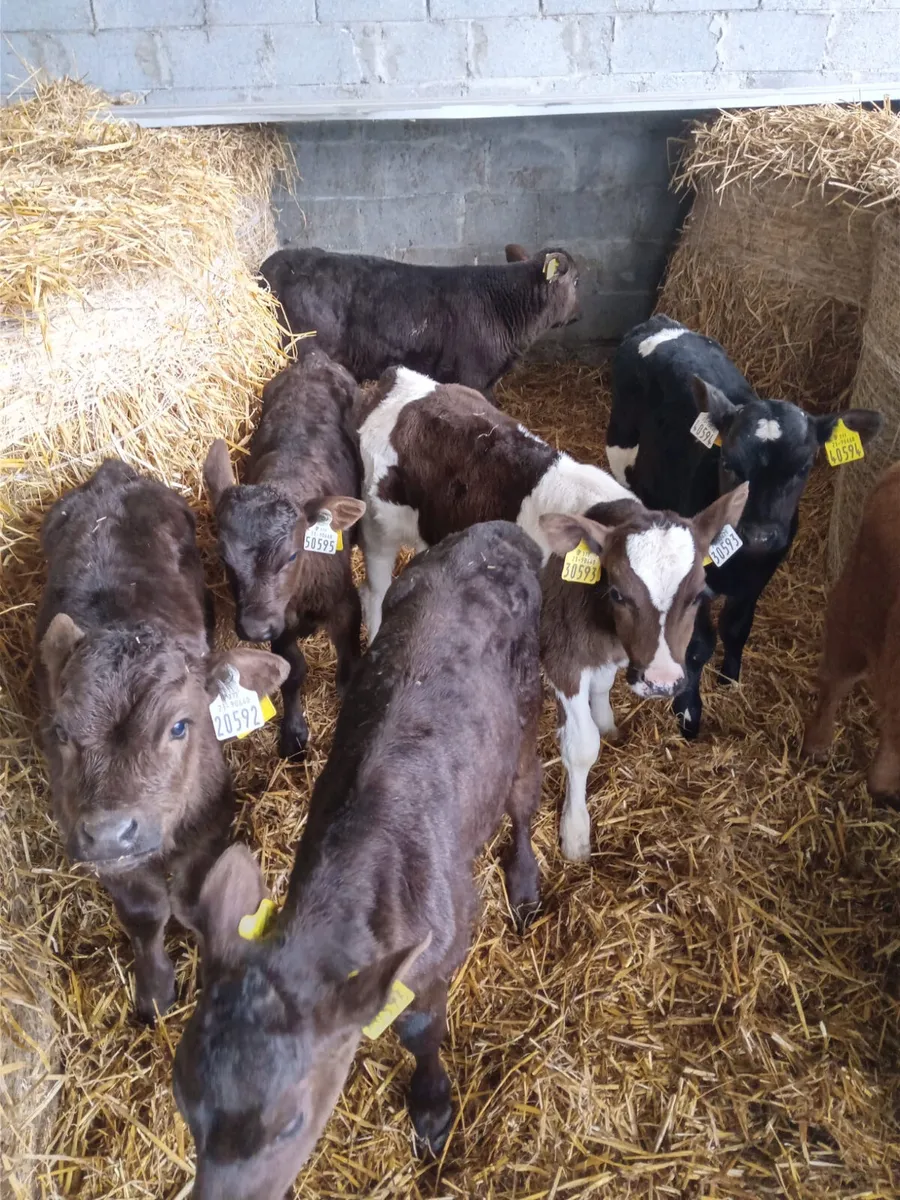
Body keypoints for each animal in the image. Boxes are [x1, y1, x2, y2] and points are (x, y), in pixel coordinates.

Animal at [34, 460, 288, 1022]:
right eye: (60, 731)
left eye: (179, 726)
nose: (110, 832)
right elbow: (145, 912)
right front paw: (154, 989)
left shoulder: (214, 818)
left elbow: (194, 899)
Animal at [173, 520, 545, 1199]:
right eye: (183, 1097)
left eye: (292, 1120)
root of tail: (498, 531)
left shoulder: (442, 946)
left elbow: (420, 1031)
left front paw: (431, 1108)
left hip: (527, 709)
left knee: (524, 795)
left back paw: (525, 882)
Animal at [203, 344, 366, 760]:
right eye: (224, 559)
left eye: (292, 556)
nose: (253, 628)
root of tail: (313, 358)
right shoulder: (280, 622)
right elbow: (293, 671)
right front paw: (292, 732)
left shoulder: (345, 601)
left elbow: (348, 666)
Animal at [357, 367, 747, 859]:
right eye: (618, 592)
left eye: (697, 595)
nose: (662, 681)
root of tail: (401, 379)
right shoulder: (563, 657)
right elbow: (581, 746)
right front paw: (576, 831)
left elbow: (603, 691)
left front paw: (609, 721)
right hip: (377, 527)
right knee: (374, 589)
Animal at [608, 314, 883, 739]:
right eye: (729, 464)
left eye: (804, 467)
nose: (758, 534)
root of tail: (661, 322)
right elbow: (697, 645)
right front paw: (688, 711)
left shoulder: (762, 573)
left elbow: (737, 627)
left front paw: (730, 678)